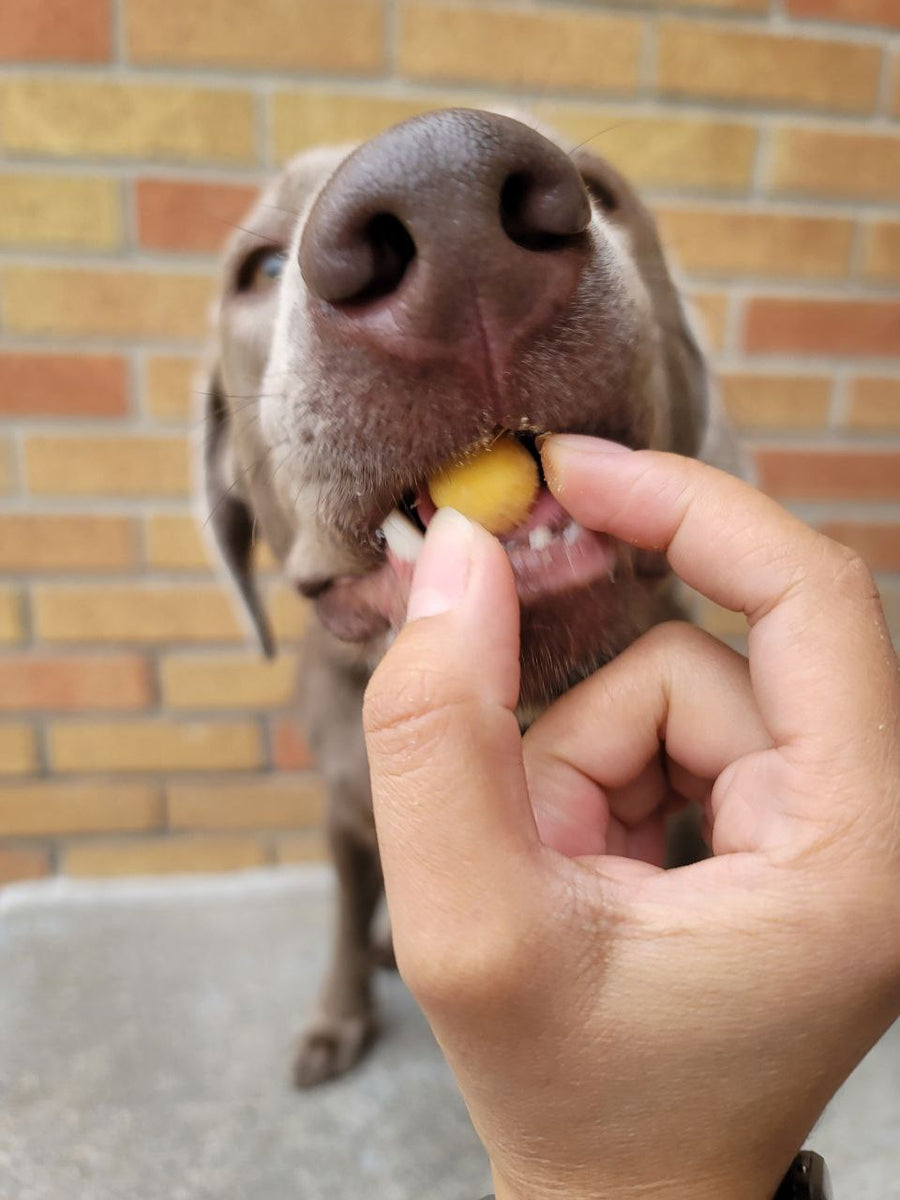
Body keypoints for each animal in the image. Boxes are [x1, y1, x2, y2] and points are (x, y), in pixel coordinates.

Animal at [200, 110, 744, 1089]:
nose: (443, 194)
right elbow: (343, 909)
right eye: (256, 269)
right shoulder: (345, 809)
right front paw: (337, 1017)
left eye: (607, 190)